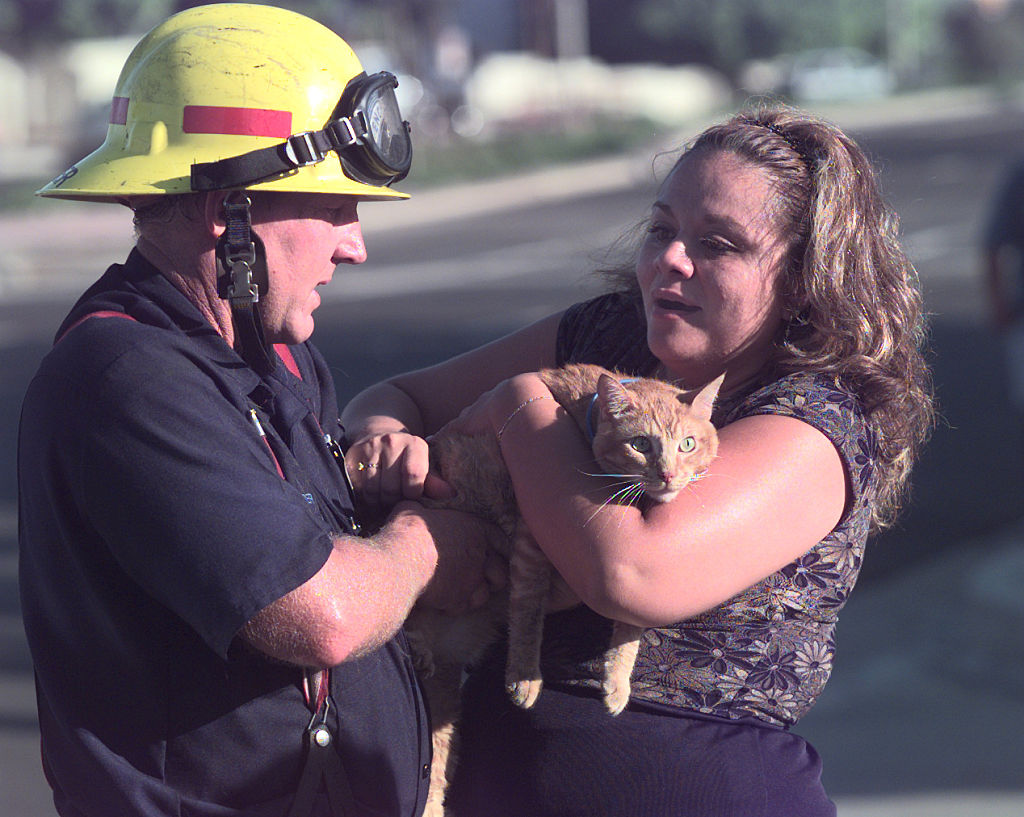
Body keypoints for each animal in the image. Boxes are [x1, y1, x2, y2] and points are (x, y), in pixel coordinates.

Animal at [405, 364, 720, 817]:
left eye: (688, 444)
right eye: (641, 444)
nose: (668, 475)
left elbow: (630, 625)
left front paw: (617, 682)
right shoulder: (531, 541)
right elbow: (528, 611)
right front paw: (524, 678)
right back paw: (415, 645)